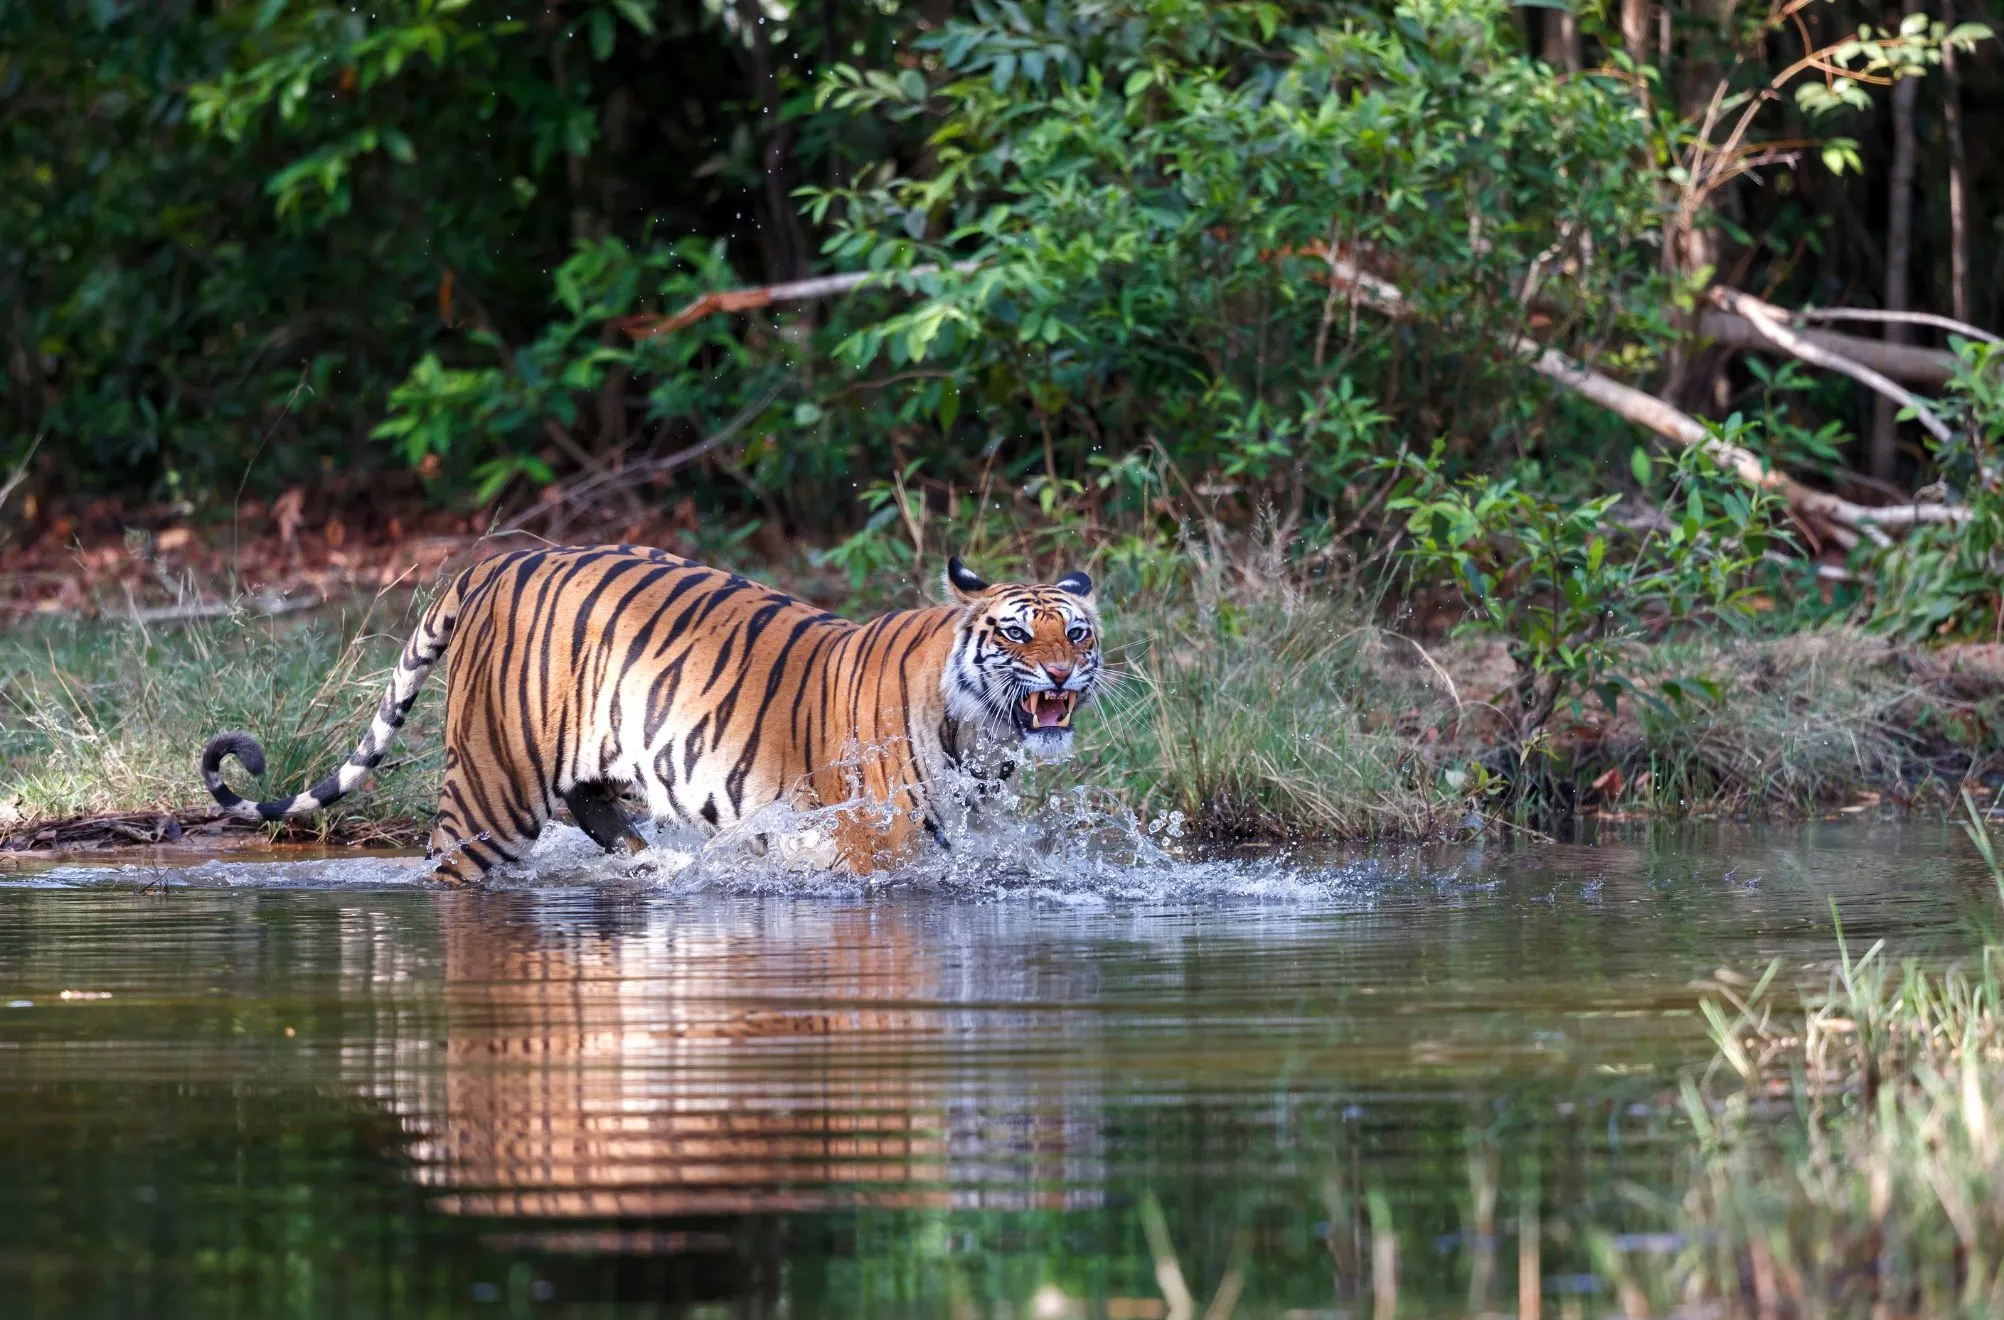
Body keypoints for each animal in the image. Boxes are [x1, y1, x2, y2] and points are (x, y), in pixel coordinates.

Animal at [199, 545, 1104, 883]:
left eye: (1078, 631)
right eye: (1017, 634)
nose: (1063, 672)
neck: (979, 731)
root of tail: (504, 557)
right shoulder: (874, 838)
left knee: (596, 810)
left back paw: (654, 864)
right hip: (492, 784)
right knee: (454, 859)